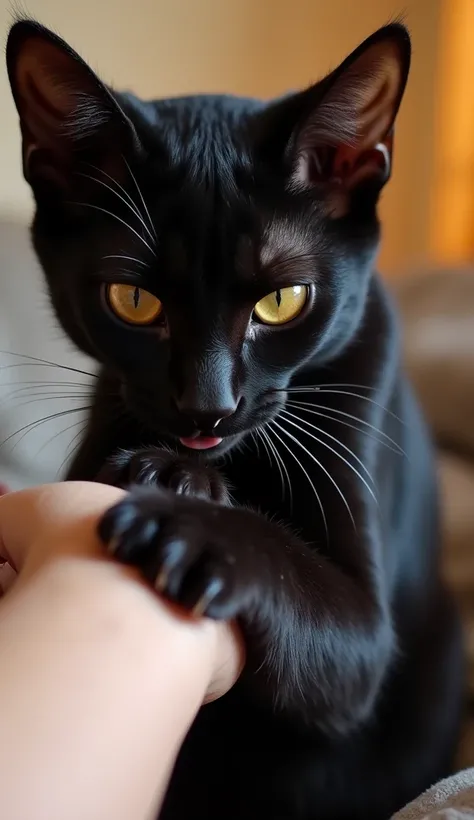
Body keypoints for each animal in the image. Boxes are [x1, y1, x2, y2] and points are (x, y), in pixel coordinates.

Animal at [5, 19, 464, 820]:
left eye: (282, 301)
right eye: (134, 301)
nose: (207, 407)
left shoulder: (364, 637)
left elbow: (284, 559)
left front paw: (183, 520)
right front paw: (174, 474)